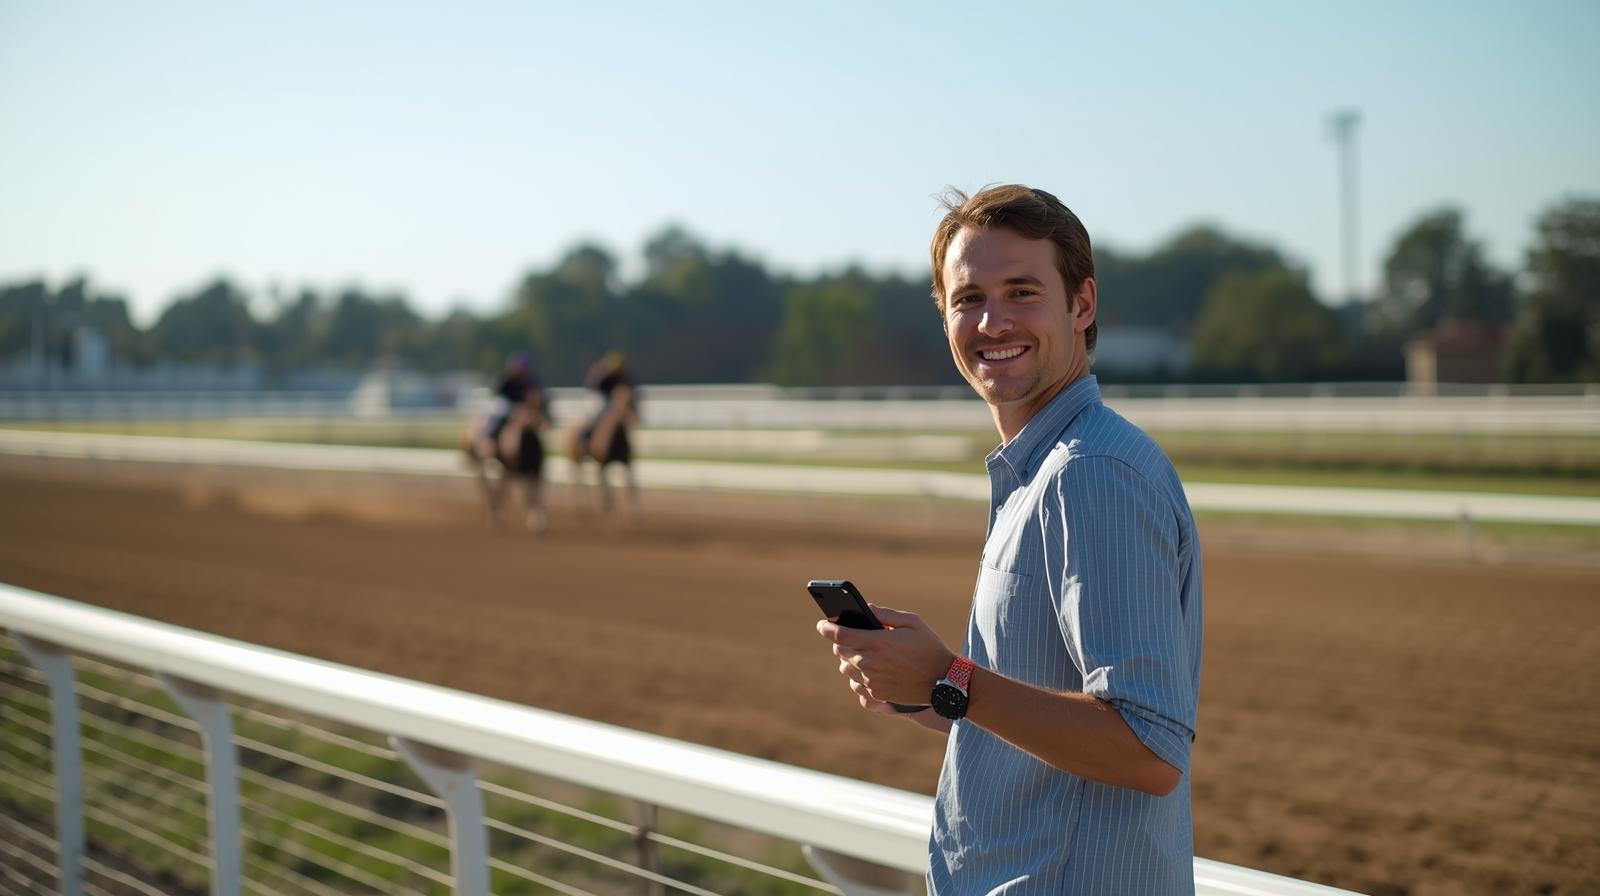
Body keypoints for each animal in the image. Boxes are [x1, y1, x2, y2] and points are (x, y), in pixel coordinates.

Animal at [462, 395, 548, 533]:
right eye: (534, 408)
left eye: (544, 404)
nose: (544, 424)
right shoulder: (514, 470)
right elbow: (527, 495)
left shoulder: (535, 470)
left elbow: (534, 494)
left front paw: (538, 522)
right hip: (481, 463)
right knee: (486, 486)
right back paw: (493, 512)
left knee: (496, 488)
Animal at [563, 382, 639, 521]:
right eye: (621, 403)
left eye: (632, 399)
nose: (635, 420)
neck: (616, 437)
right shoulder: (603, 464)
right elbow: (607, 493)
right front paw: (608, 511)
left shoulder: (627, 462)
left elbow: (631, 487)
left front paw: (633, 516)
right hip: (577, 459)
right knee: (579, 480)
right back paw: (582, 508)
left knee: (584, 479)